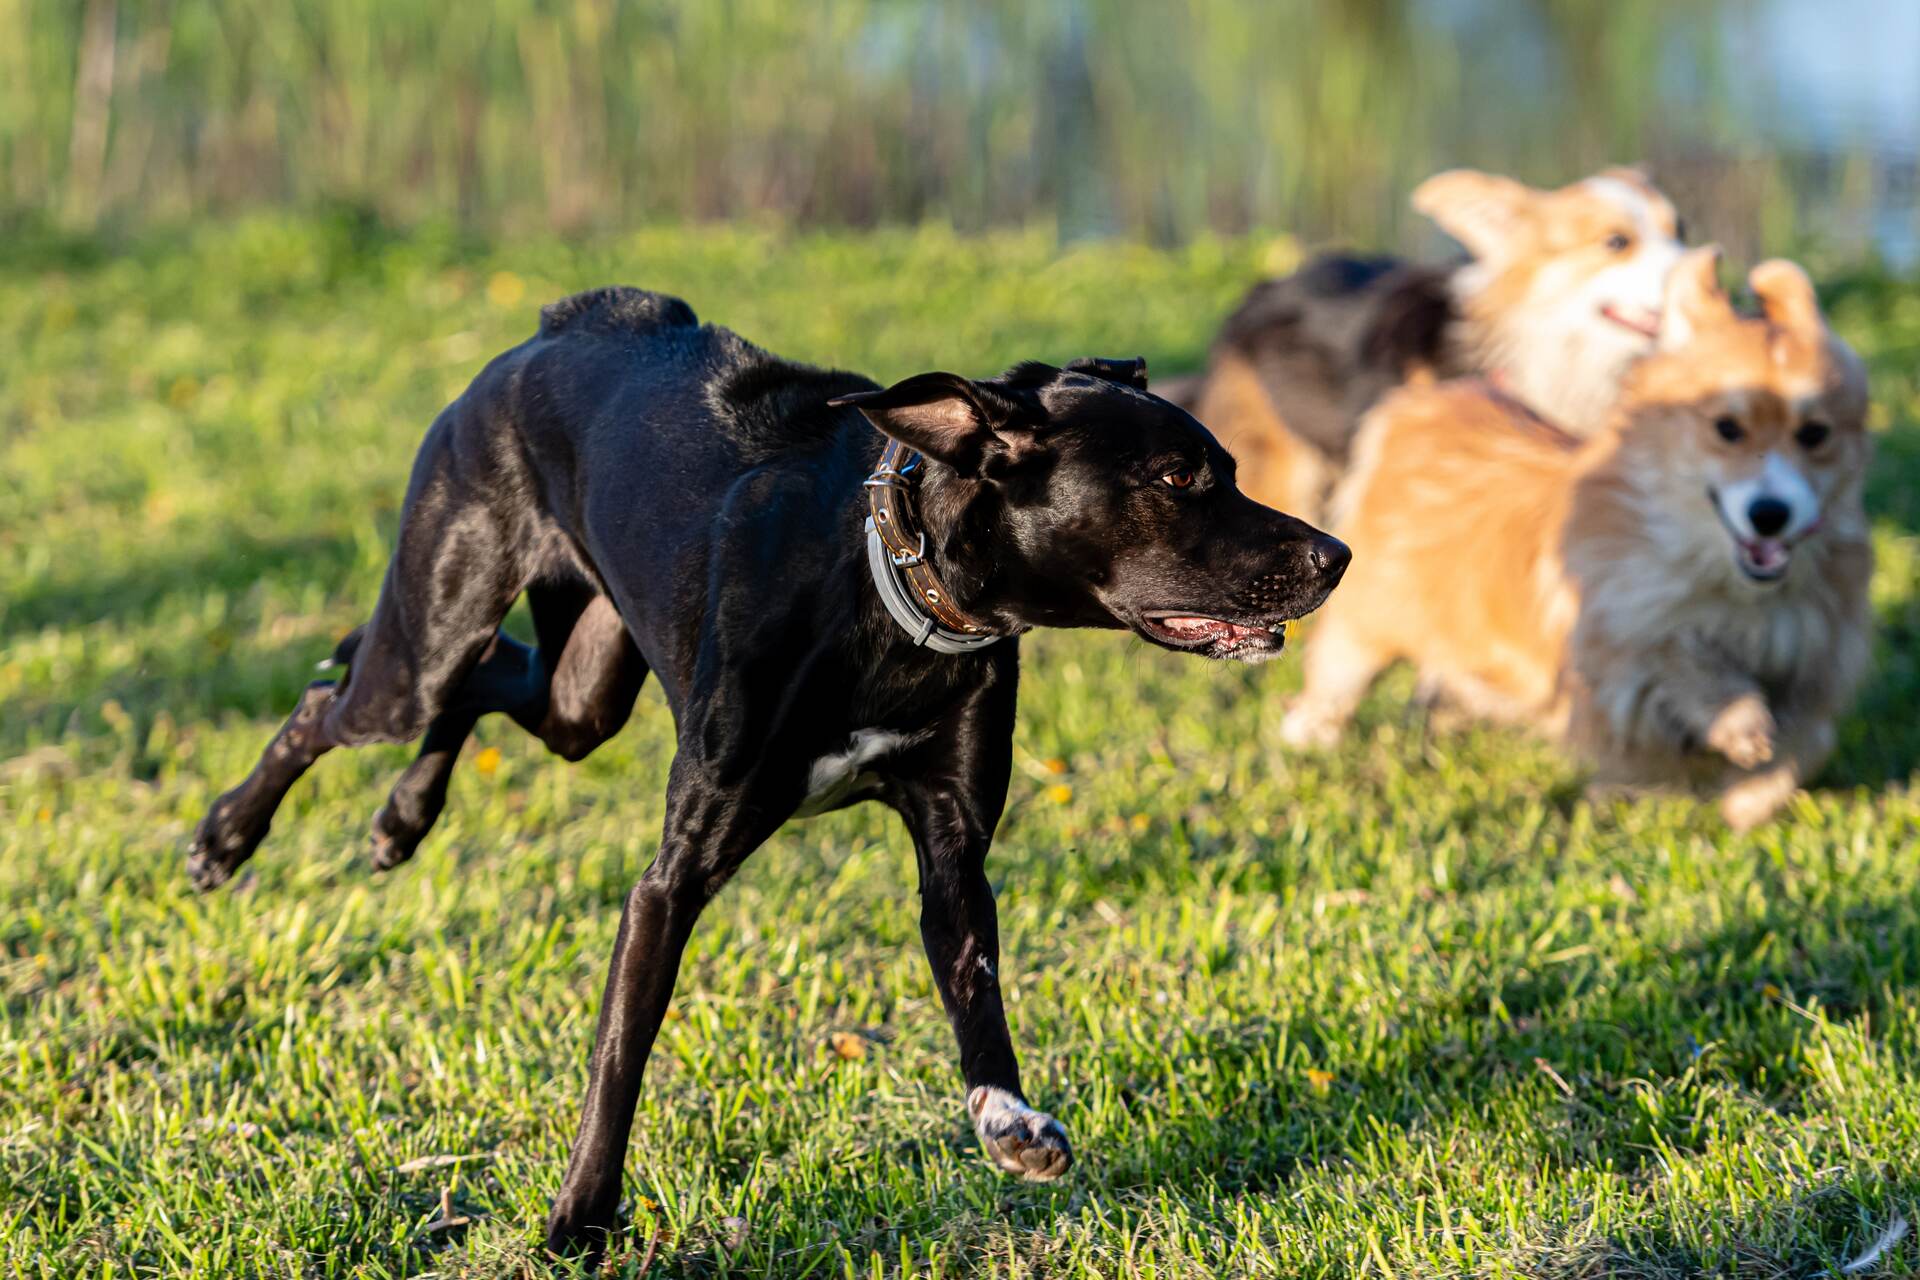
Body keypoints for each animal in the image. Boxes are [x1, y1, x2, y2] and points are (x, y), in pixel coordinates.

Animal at [187, 285, 1344, 1258]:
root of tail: (549, 330)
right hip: (434, 636)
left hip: (581, 693)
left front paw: (1009, 1121)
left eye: (1229, 468)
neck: (889, 594)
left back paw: (401, 817)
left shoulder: (952, 848)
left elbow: (976, 993)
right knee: (343, 694)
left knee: (484, 689)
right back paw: (226, 838)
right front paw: (578, 1222)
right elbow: (620, 1054)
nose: (1333, 555)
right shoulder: (673, 879)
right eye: (1178, 479)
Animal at [1282, 249, 1866, 832]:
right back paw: (1311, 732)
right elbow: (1685, 661)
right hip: (1367, 625)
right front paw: (1742, 726)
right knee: (1336, 675)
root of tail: (1422, 399)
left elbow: (1803, 744)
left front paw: (1747, 802)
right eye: (1727, 428)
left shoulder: (1813, 661)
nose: (1771, 515)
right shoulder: (1618, 647)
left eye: (1815, 434)